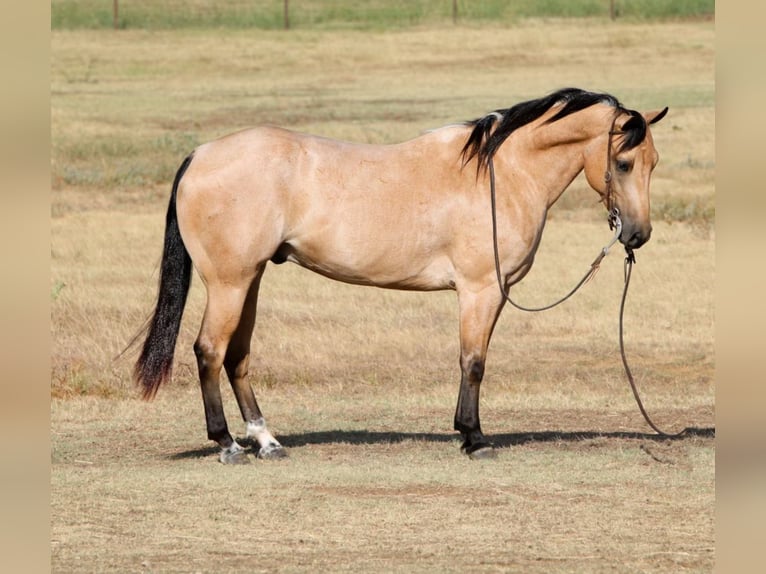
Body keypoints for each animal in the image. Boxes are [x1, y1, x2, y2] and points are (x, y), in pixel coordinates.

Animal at [130, 89, 664, 464]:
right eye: (623, 163)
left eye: (652, 163)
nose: (637, 235)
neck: (502, 175)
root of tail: (201, 154)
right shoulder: (481, 291)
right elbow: (473, 361)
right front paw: (473, 437)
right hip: (230, 282)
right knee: (209, 351)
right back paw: (227, 444)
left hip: (251, 280)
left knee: (236, 356)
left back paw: (266, 440)